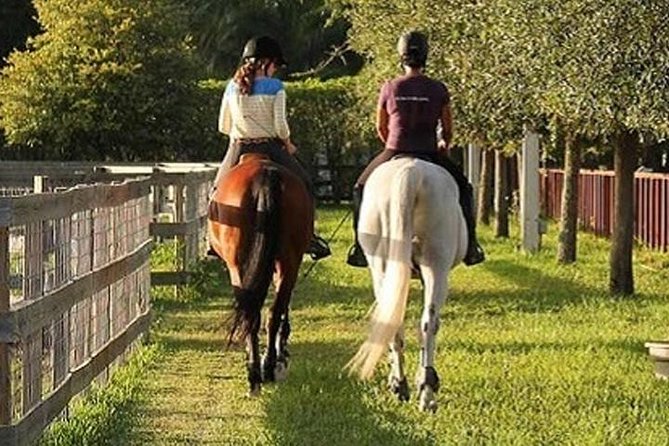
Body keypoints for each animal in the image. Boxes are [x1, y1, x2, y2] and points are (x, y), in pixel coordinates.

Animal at [207, 154, 312, 398]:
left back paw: (255, 374)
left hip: (237, 266)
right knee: (272, 312)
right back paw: (268, 367)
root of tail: (264, 175)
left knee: (251, 313)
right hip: (288, 261)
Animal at [348, 156, 468, 412]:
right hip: (435, 266)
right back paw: (424, 392)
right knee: (428, 322)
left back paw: (407, 387)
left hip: (386, 268)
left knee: (401, 322)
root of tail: (411, 170)